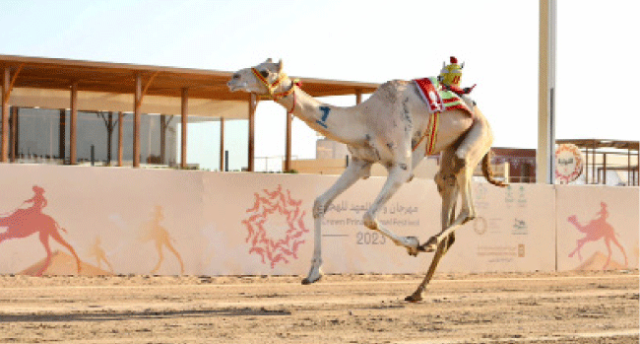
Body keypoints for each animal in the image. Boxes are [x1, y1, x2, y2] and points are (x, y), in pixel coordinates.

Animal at [228, 59, 508, 300]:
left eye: (265, 71)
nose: (233, 78)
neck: (366, 119)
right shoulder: (359, 163)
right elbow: (320, 203)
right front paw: (313, 273)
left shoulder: (402, 168)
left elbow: (369, 217)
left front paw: (412, 244)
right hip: (449, 153)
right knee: (446, 191)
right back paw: (417, 291)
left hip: (478, 136)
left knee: (468, 203)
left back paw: (427, 244)